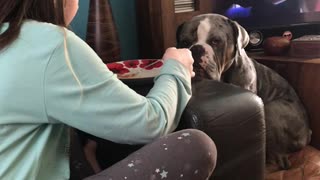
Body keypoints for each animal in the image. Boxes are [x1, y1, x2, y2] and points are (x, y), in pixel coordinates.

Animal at [176, 13, 312, 170]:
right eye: (184, 42)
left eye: (216, 41)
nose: (195, 49)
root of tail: (308, 134)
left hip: (270, 110)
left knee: (281, 158)